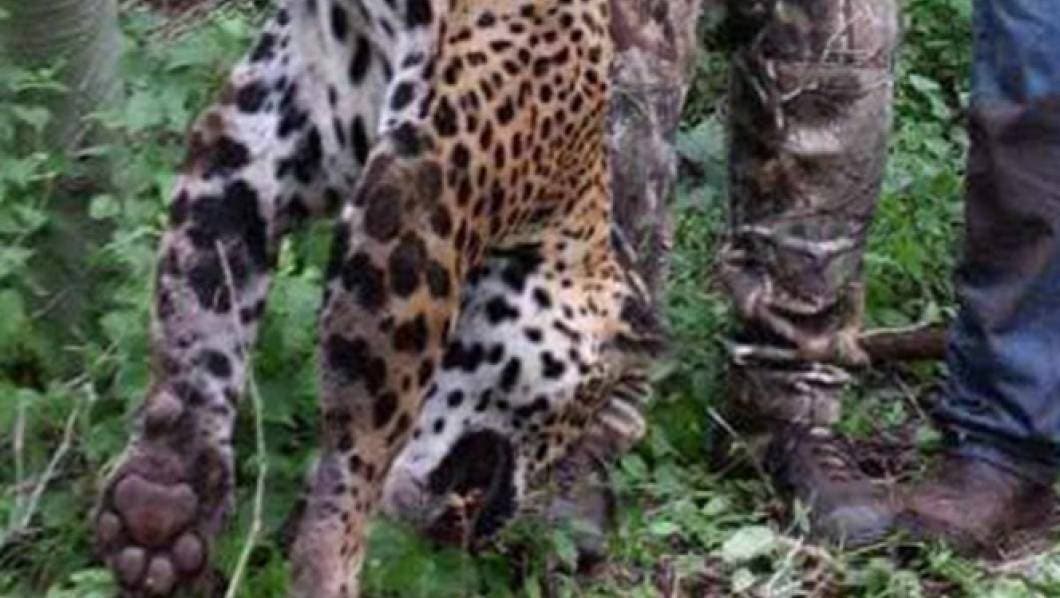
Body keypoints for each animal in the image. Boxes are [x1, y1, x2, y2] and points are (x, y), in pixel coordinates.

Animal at [92, 0, 663, 596]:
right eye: (576, 420)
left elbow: (201, 293)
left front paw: (160, 501)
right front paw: (331, 566)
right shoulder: (427, 185)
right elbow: (366, 424)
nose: (489, 532)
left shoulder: (267, 134)